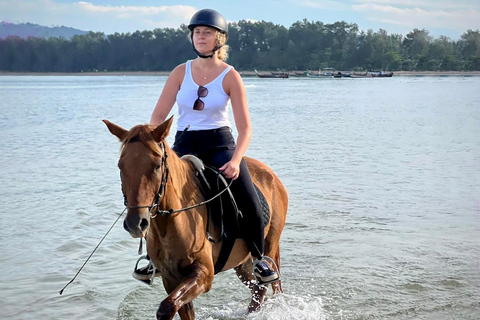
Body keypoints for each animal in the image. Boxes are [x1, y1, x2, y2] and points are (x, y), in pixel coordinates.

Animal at [103, 117, 286, 320]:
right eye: (121, 166)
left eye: (157, 165)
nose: (136, 223)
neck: (171, 223)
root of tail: (271, 175)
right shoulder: (171, 277)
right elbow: (179, 307)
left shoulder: (203, 273)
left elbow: (167, 306)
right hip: (242, 263)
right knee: (256, 288)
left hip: (268, 247)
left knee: (267, 284)